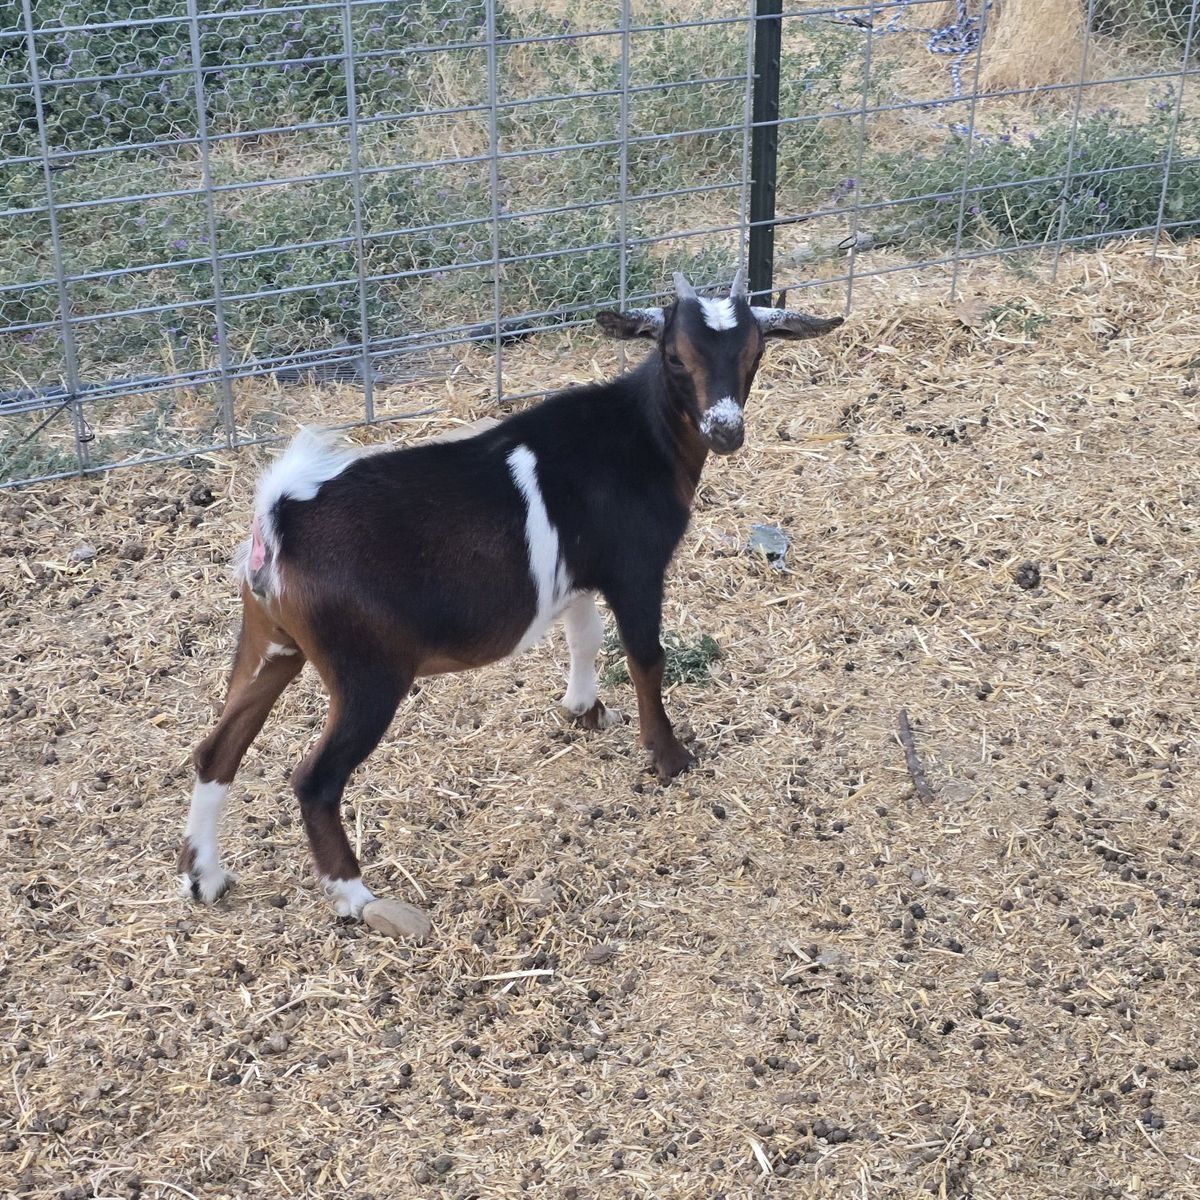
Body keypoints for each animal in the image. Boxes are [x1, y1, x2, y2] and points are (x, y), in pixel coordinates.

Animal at [179, 269, 842, 923]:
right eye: (675, 355)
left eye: (756, 352)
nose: (725, 429)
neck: (642, 433)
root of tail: (278, 521)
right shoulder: (636, 569)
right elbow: (645, 657)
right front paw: (669, 756)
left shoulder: (577, 573)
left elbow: (584, 636)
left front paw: (584, 710)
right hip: (365, 670)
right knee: (314, 779)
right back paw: (353, 894)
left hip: (272, 642)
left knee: (216, 750)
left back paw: (205, 875)